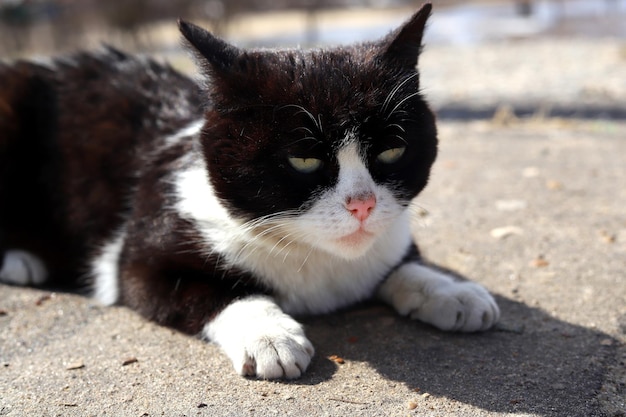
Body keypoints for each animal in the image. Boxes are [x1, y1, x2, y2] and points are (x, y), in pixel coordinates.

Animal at [0, 3, 498, 378]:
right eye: (304, 160)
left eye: (393, 150)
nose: (364, 204)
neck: (316, 261)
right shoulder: (138, 257)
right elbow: (215, 290)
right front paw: (269, 335)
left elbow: (401, 264)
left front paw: (452, 291)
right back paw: (22, 260)